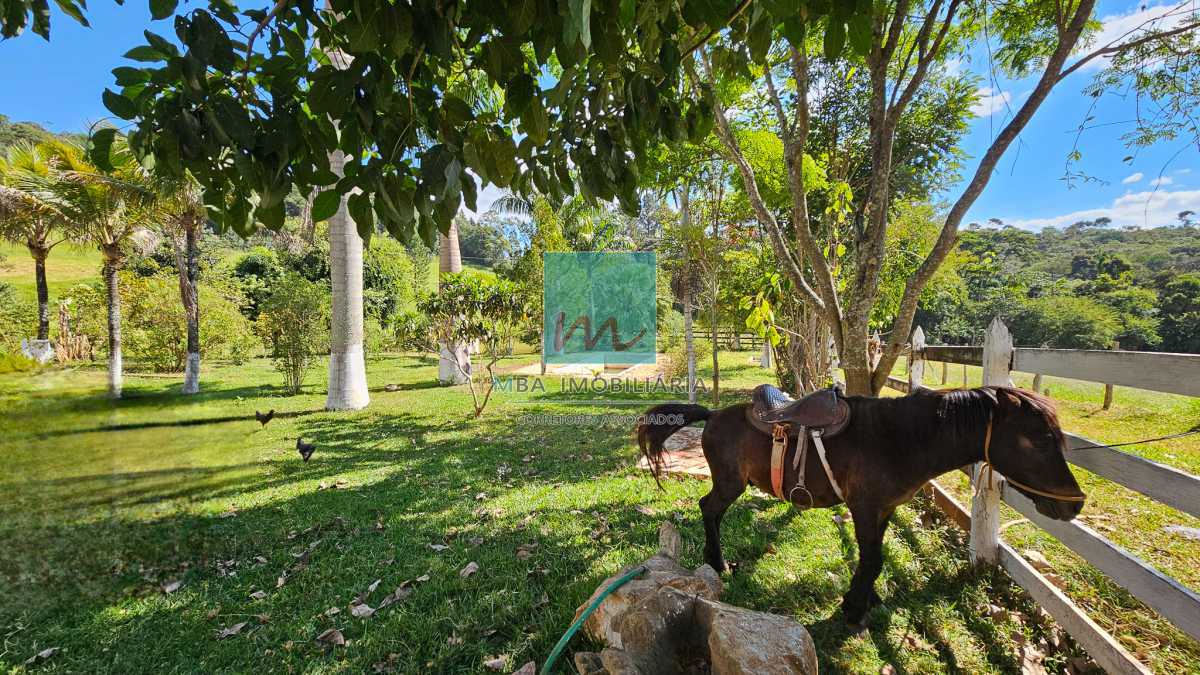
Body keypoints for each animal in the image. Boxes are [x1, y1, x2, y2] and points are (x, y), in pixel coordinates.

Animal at [638, 386, 1089, 629]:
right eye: (1037, 440)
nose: (1075, 504)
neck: (901, 439)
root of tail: (714, 414)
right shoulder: (864, 508)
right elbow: (871, 559)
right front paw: (853, 609)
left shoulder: (883, 510)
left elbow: (876, 556)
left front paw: (867, 598)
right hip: (730, 483)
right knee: (709, 509)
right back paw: (717, 562)